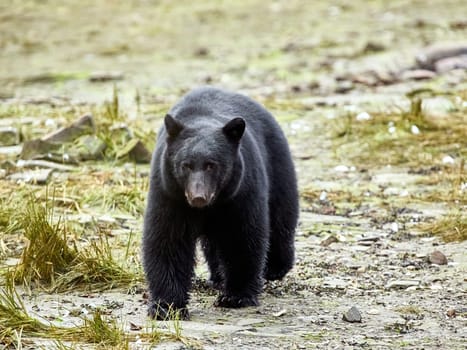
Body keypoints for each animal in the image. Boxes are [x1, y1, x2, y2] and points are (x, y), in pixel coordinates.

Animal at [143, 86, 300, 318]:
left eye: (211, 165)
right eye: (185, 165)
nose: (198, 197)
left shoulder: (240, 193)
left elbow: (241, 237)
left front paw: (235, 296)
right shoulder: (169, 193)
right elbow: (168, 239)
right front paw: (166, 306)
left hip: (278, 166)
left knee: (281, 217)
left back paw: (275, 267)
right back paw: (218, 277)